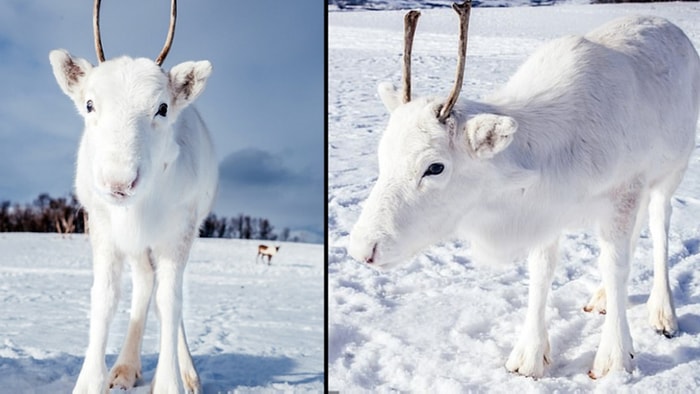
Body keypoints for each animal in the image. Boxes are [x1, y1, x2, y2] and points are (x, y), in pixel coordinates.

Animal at [49, 1, 217, 392]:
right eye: (90, 105)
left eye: (163, 108)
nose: (119, 182)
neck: (137, 209)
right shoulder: (102, 226)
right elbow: (105, 298)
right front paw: (91, 381)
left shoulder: (179, 231)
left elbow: (170, 302)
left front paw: (172, 381)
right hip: (138, 246)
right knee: (144, 284)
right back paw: (125, 367)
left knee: (168, 295)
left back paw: (188, 373)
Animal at [348, 1, 700, 380]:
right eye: (382, 154)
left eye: (435, 166)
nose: (363, 248)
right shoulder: (548, 212)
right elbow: (541, 272)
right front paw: (529, 356)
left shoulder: (624, 190)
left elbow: (615, 265)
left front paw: (615, 359)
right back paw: (603, 297)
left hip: (671, 172)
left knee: (659, 226)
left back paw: (663, 312)